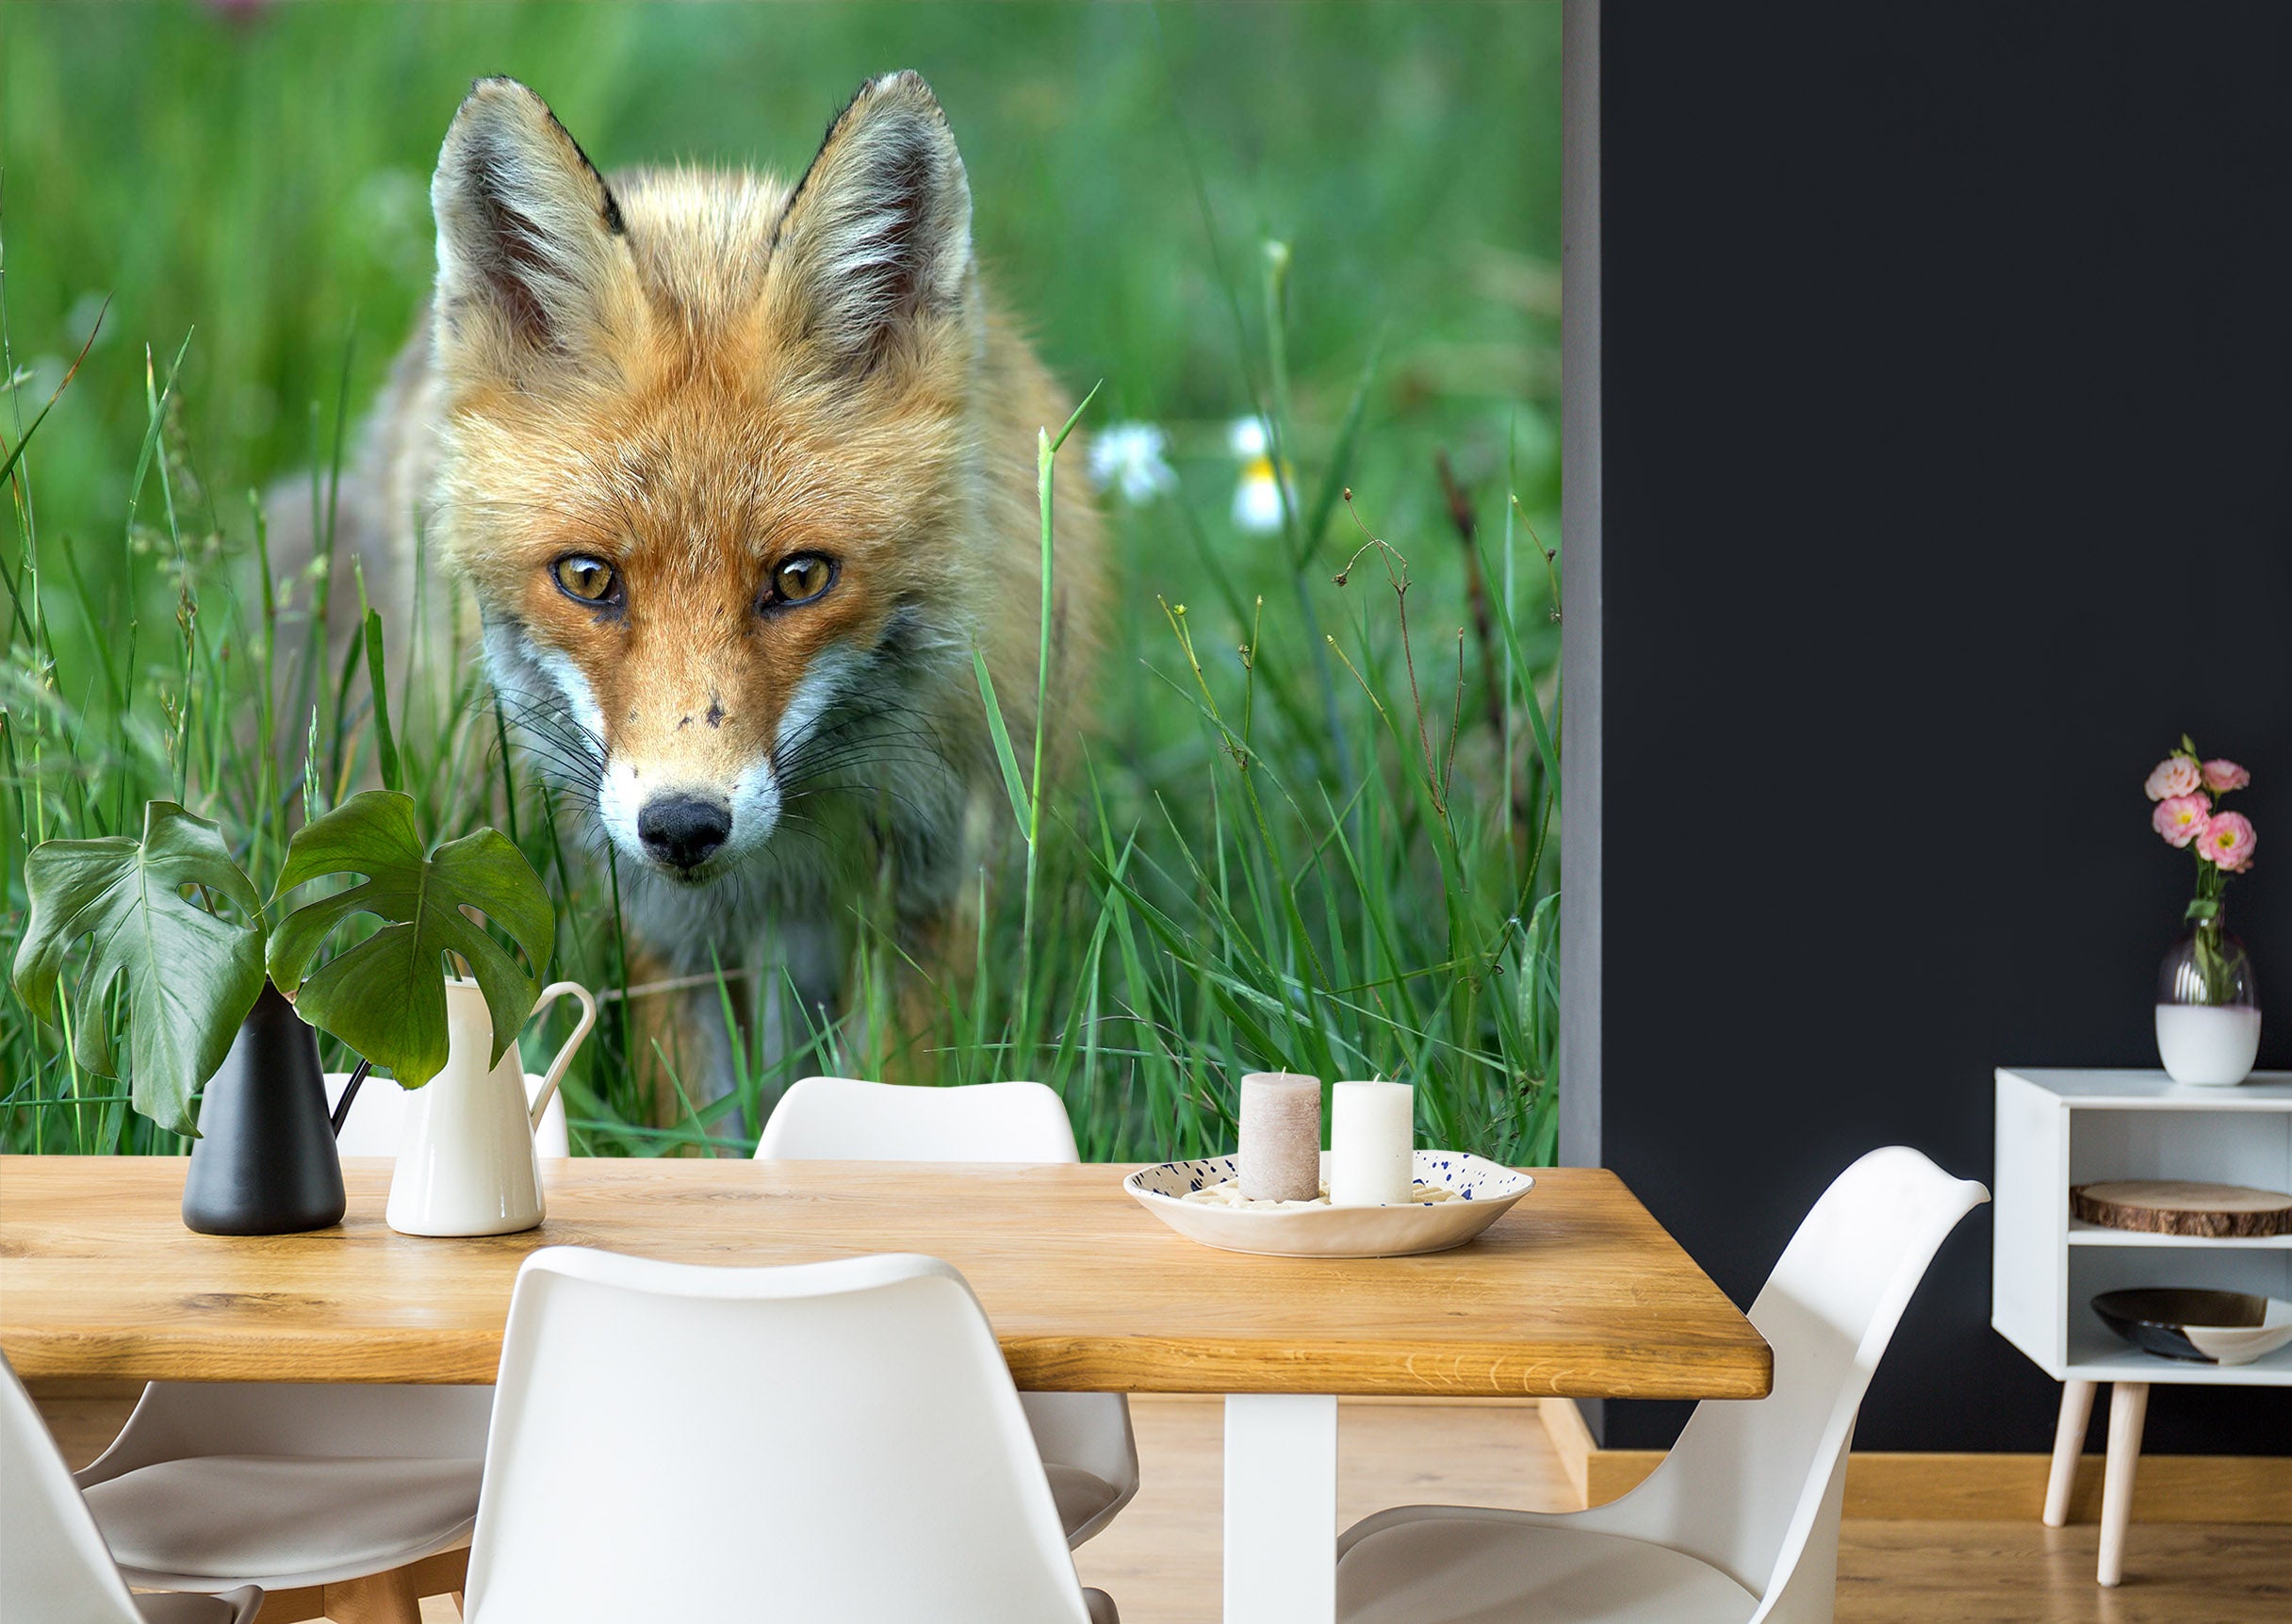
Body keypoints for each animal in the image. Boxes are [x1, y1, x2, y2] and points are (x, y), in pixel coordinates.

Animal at [306, 72, 1103, 1110]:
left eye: (799, 578)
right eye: (587, 578)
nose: (682, 826)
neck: (790, 862)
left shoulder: (932, 888)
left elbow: (894, 1089)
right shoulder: (656, 922)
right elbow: (691, 1118)